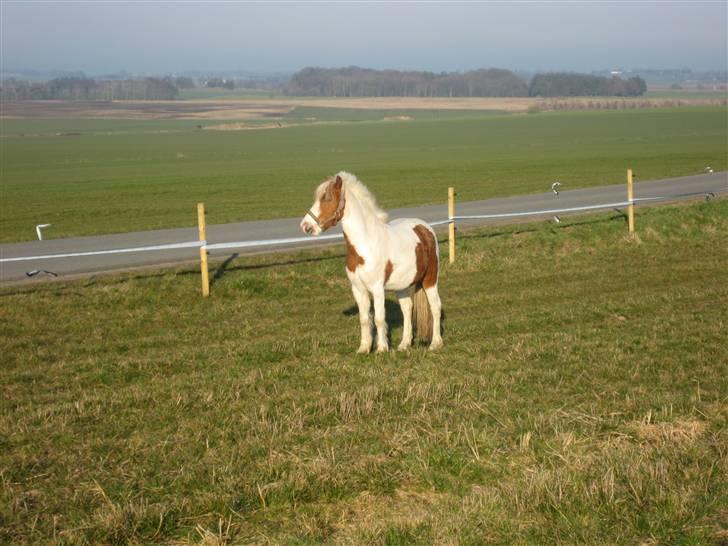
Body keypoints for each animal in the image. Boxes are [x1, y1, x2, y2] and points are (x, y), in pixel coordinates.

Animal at [300, 172, 443, 353]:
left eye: (327, 198)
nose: (305, 226)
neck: (366, 243)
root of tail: (425, 228)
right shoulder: (358, 289)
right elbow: (364, 319)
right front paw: (364, 348)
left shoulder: (377, 288)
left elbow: (379, 318)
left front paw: (381, 348)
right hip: (403, 286)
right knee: (407, 309)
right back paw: (404, 344)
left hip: (430, 279)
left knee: (436, 307)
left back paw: (435, 343)